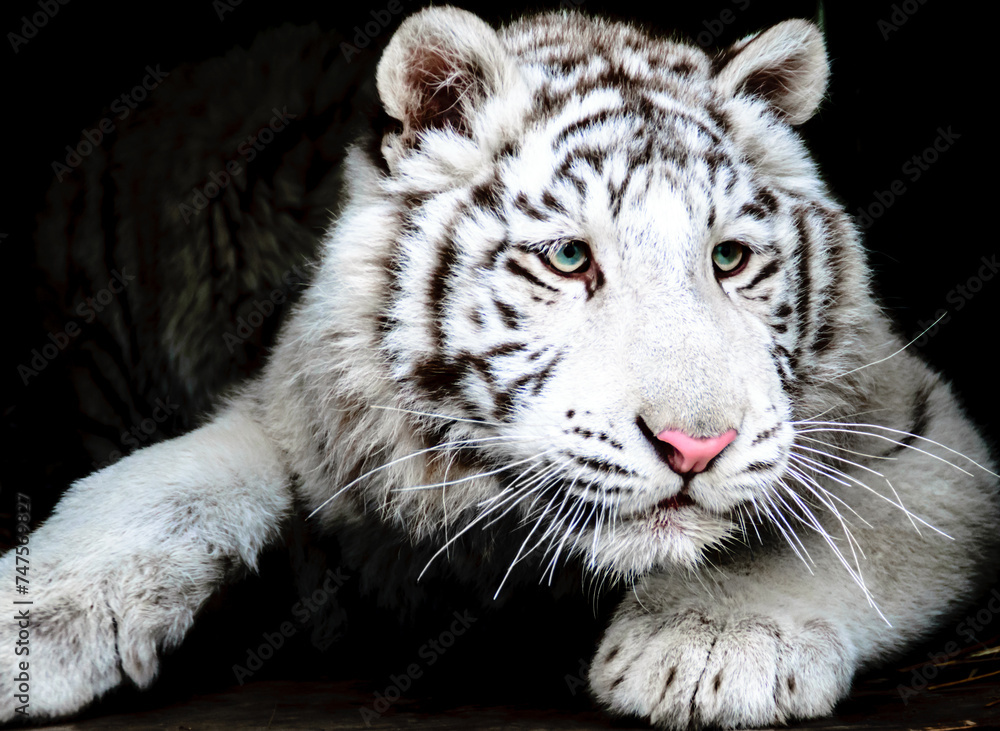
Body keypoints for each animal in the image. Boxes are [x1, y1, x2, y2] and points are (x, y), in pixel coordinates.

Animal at [2, 5, 998, 729]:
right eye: (568, 258)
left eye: (729, 258)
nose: (695, 446)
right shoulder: (305, 422)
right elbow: (164, 480)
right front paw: (34, 620)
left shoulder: (922, 427)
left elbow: (837, 529)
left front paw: (711, 648)